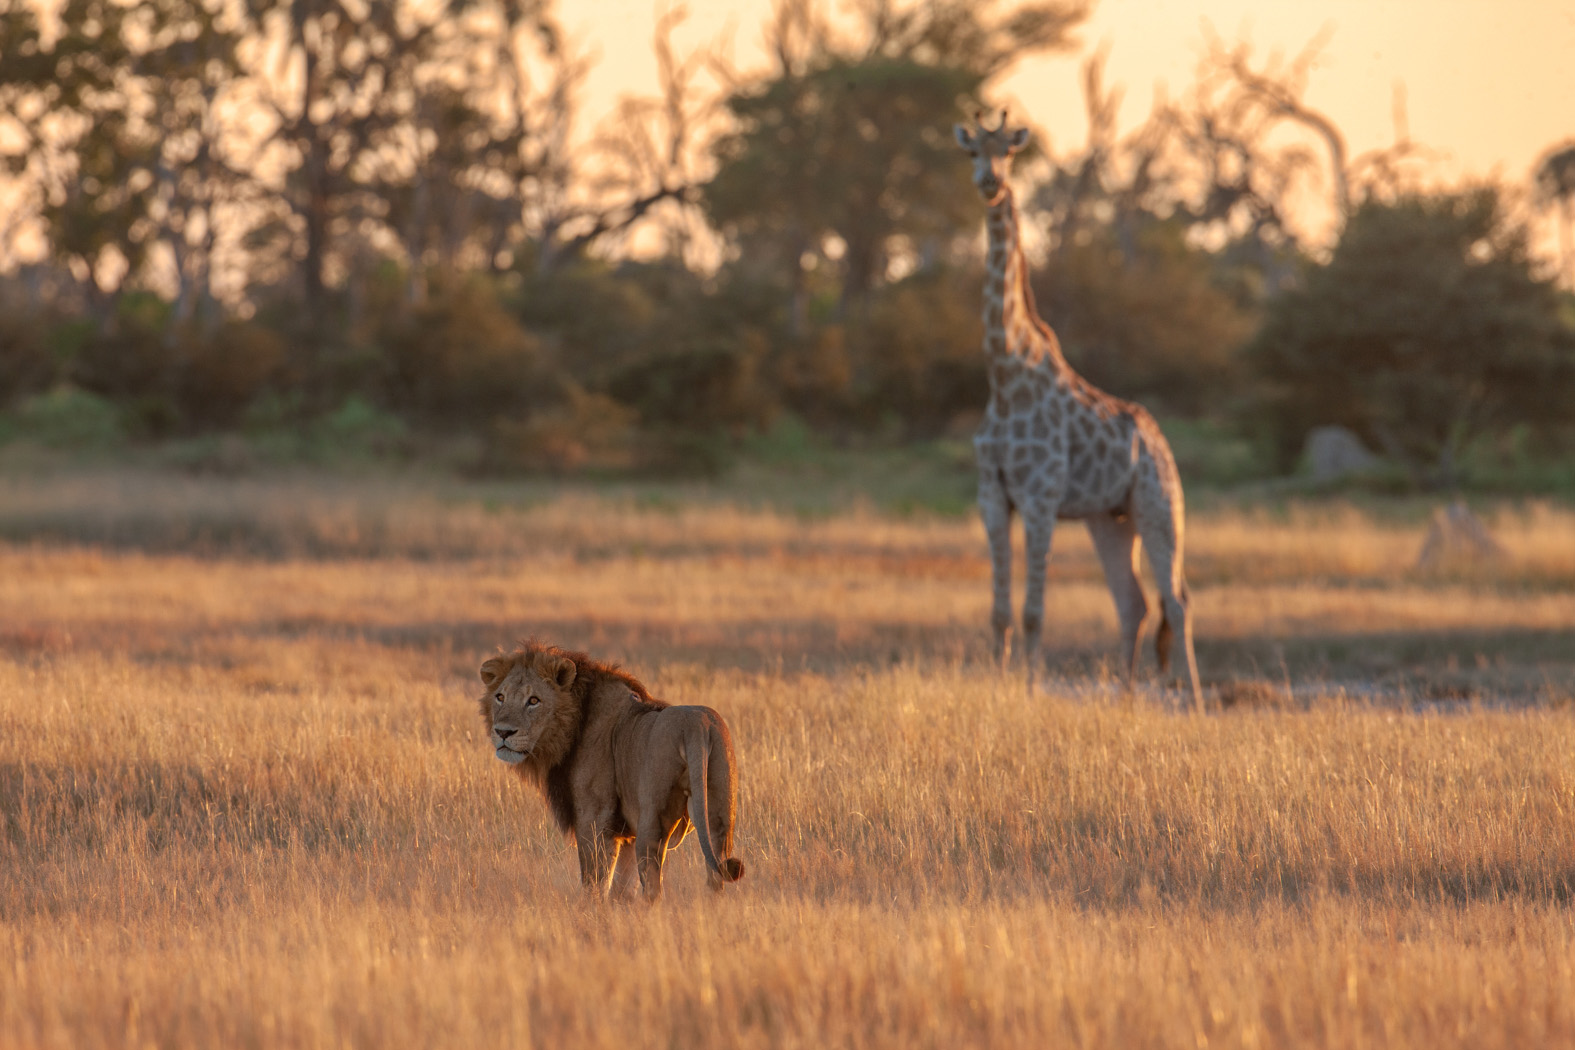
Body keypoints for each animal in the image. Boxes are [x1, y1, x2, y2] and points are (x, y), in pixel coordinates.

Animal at [477, 642, 745, 901]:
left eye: (534, 700)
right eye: (500, 697)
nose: (503, 732)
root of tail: (697, 726)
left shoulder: (594, 819)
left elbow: (594, 882)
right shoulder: (626, 832)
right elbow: (622, 887)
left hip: (652, 821)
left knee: (653, 886)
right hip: (719, 812)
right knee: (715, 872)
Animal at [953, 111, 1202, 709]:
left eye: (1009, 152)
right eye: (971, 152)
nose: (990, 184)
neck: (1005, 374)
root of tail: (1160, 441)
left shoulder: (1040, 498)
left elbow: (1033, 611)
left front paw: (1029, 690)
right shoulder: (992, 496)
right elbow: (999, 613)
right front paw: (999, 686)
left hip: (1160, 504)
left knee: (1178, 599)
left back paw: (1195, 702)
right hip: (1108, 518)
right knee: (1134, 603)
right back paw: (1129, 699)